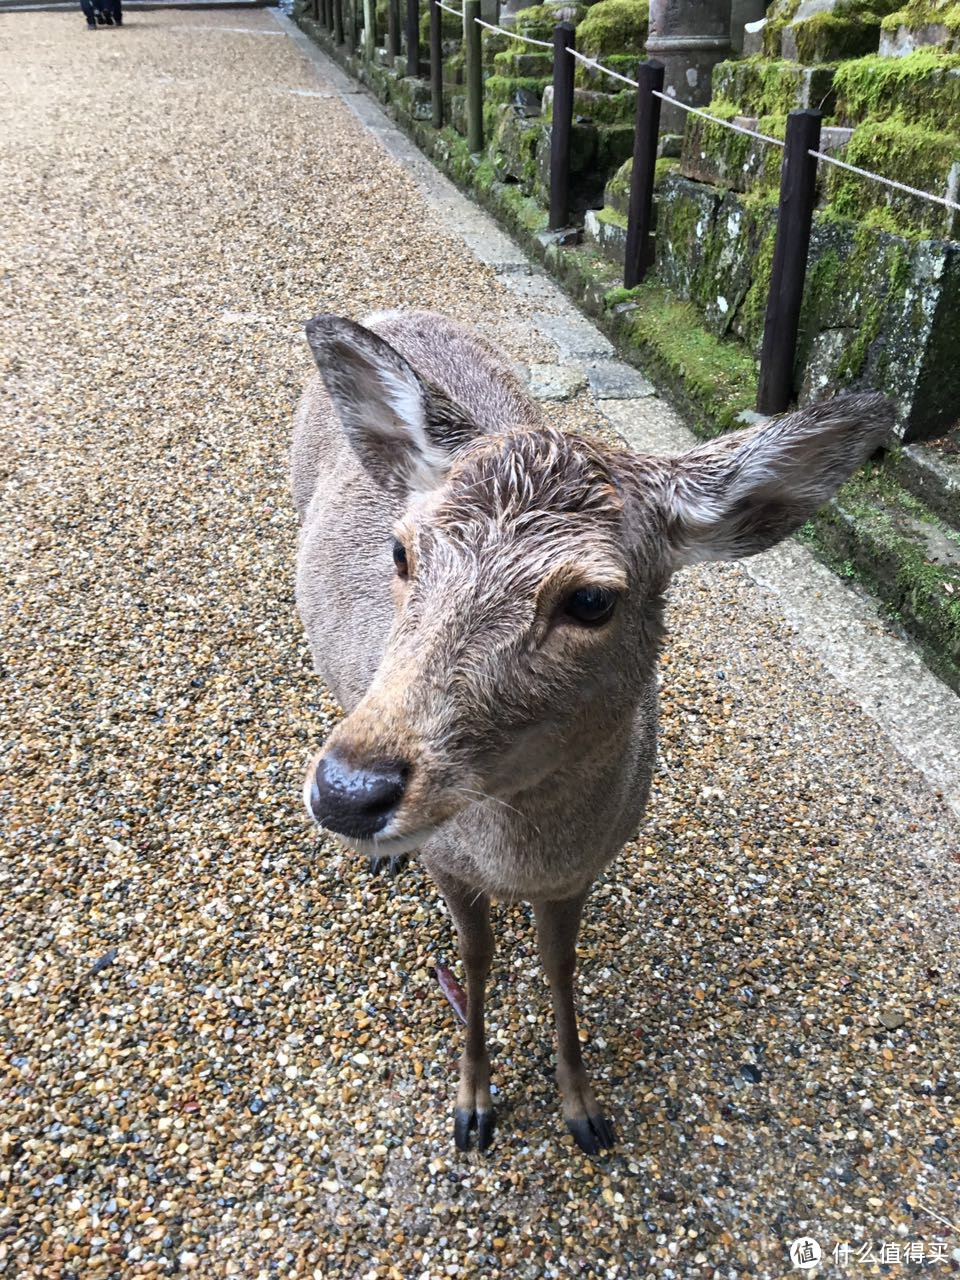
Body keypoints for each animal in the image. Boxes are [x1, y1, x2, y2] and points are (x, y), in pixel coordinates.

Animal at [291, 307, 896, 1152]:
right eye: (401, 550)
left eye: (591, 600)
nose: (350, 790)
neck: (517, 860)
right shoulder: (451, 863)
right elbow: (474, 959)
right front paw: (473, 1107)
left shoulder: (583, 869)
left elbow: (560, 967)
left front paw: (583, 1110)